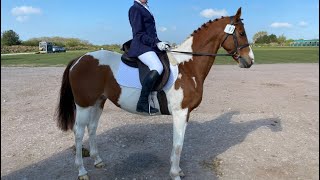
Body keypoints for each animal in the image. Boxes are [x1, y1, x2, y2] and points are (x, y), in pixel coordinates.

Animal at [56, 7, 254, 180]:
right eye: (241, 33)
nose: (250, 60)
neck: (187, 66)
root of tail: (79, 59)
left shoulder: (185, 114)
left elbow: (178, 143)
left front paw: (178, 170)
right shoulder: (180, 113)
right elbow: (178, 145)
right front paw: (175, 174)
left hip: (98, 102)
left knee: (92, 128)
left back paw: (98, 161)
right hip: (84, 104)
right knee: (79, 132)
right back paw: (82, 171)